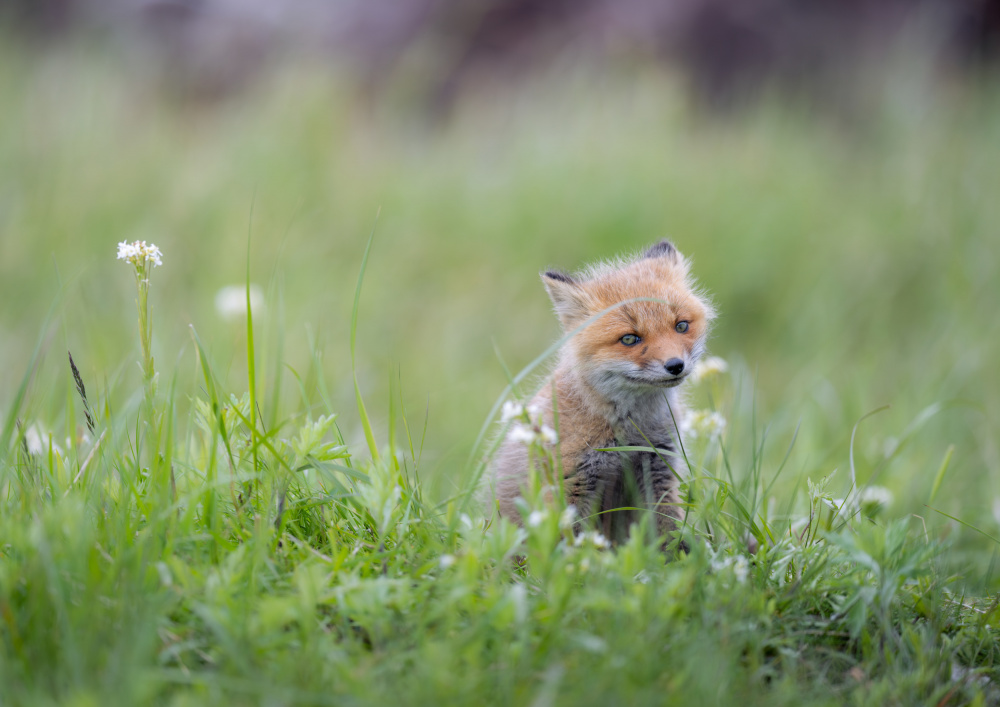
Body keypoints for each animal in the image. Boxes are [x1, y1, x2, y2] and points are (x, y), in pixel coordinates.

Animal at [490, 241, 712, 544]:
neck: (628, 429)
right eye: (629, 339)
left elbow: (668, 529)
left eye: (681, 326)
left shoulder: (658, 466)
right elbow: (570, 543)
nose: (675, 365)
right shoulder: (572, 479)